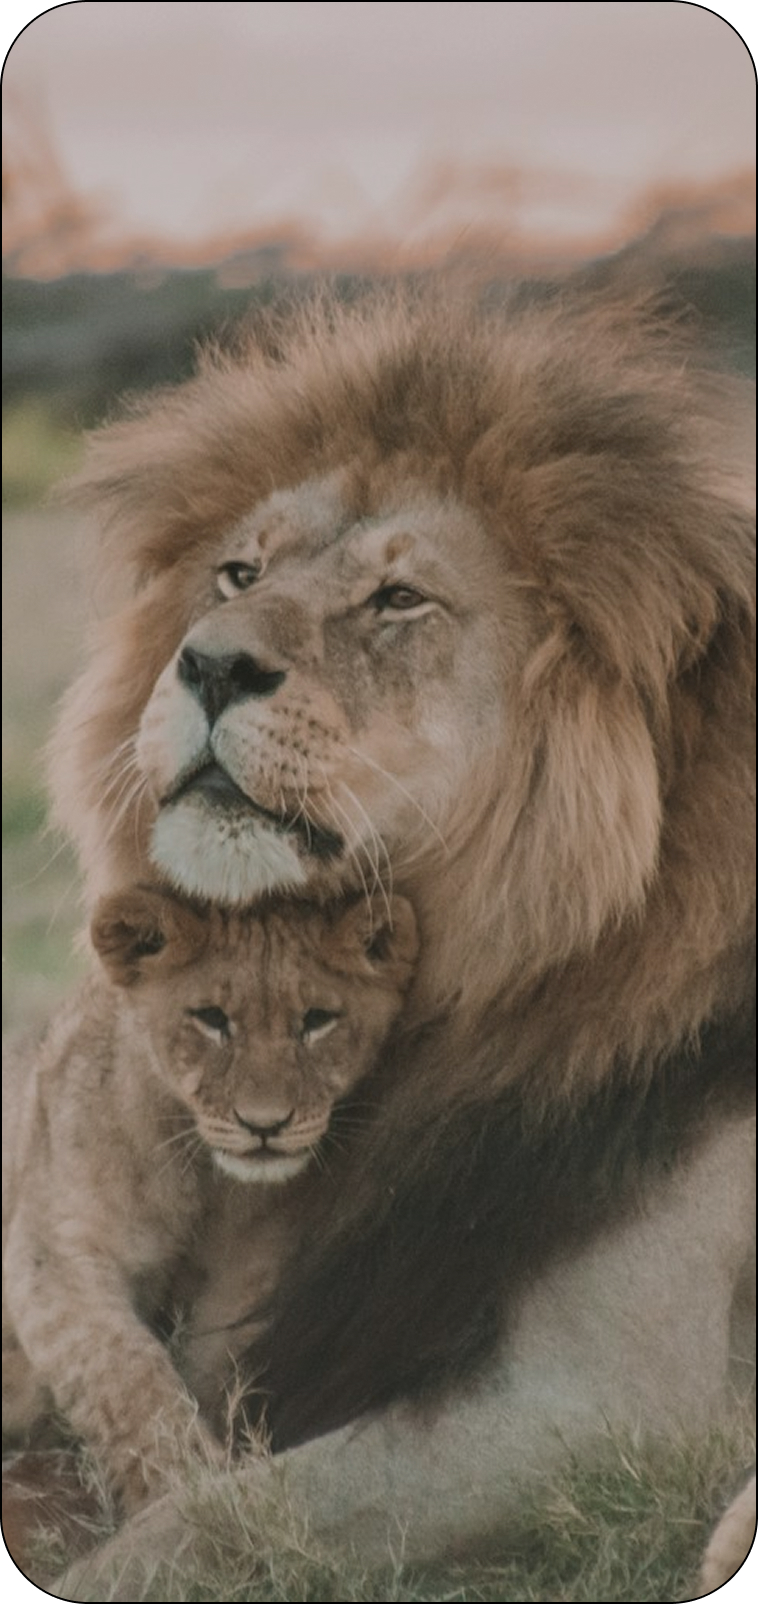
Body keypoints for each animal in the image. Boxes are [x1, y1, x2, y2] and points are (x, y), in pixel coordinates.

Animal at [2, 884, 418, 1511]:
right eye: (211, 1019)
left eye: (317, 1020)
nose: (265, 1125)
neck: (206, 1182)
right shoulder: (54, 1252)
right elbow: (123, 1373)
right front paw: (184, 1487)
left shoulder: (250, 1274)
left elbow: (215, 1366)